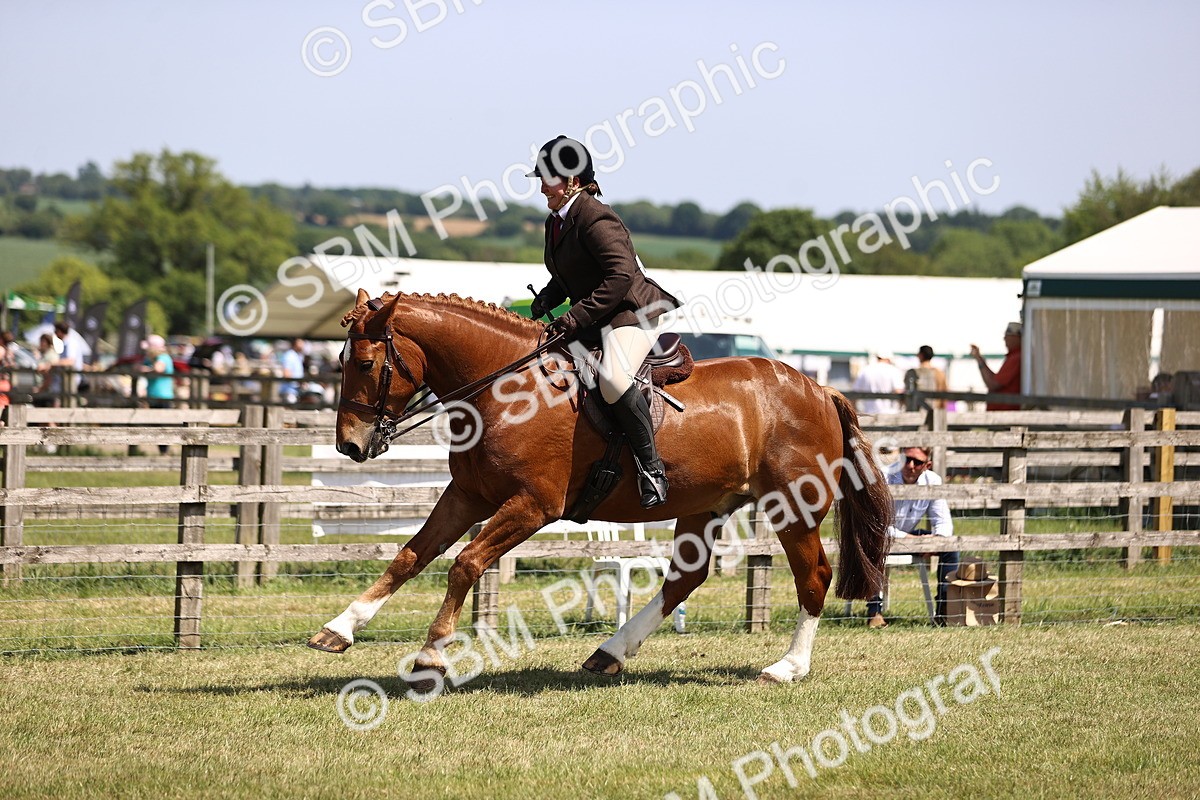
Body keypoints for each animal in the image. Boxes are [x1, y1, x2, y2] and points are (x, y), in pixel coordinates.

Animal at [308, 289, 892, 686]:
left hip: (793, 506)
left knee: (813, 576)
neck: (505, 389)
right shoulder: (468, 495)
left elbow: (465, 563)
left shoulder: (533, 506)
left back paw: (787, 666)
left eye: (366, 363)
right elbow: (410, 556)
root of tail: (818, 388)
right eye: (340, 361)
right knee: (685, 578)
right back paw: (609, 653)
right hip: (705, 504)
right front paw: (339, 629)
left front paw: (431, 656)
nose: (350, 447)